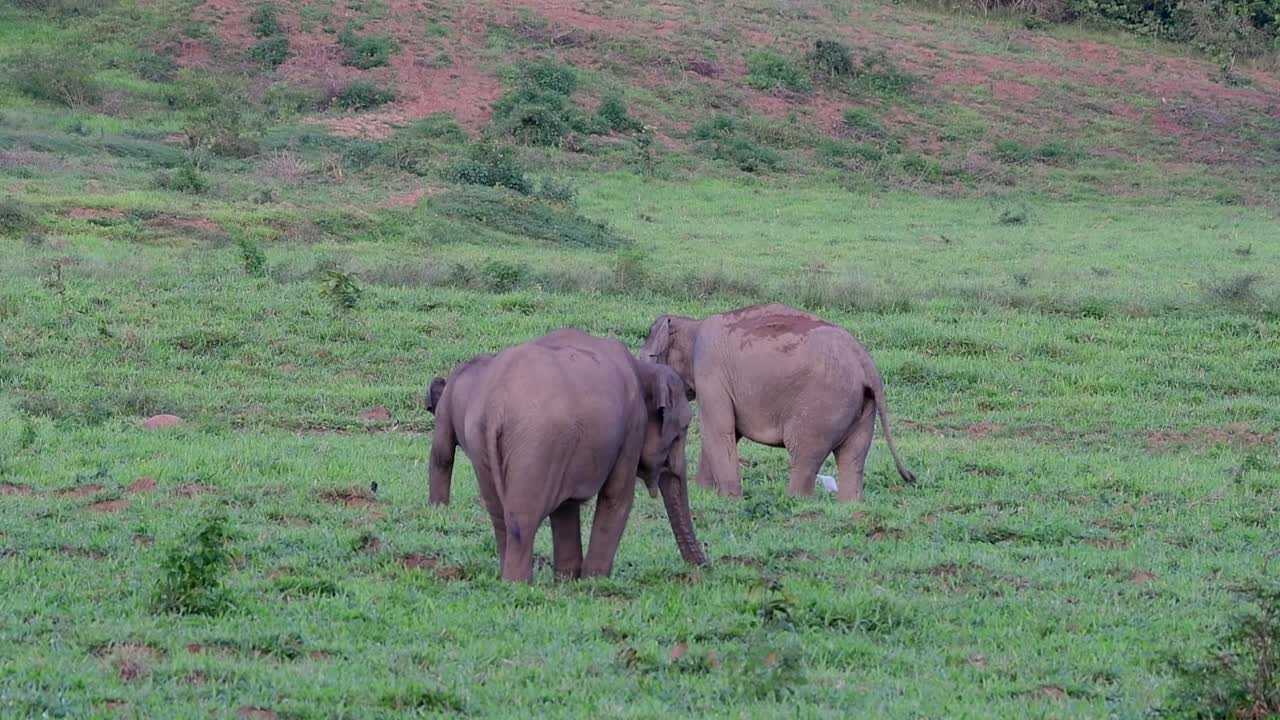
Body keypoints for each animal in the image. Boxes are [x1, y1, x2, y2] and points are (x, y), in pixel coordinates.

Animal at [426, 329, 707, 583]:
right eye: (682, 431)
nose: (705, 569)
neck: (642, 369)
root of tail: (497, 405)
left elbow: (566, 507)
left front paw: (567, 579)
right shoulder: (632, 428)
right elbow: (616, 498)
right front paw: (594, 582)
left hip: (485, 444)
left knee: (499, 515)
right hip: (537, 445)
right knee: (521, 520)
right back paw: (518, 584)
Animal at [639, 303, 915, 503]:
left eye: (648, 357)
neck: (692, 325)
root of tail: (866, 363)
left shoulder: (710, 373)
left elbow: (718, 430)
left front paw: (729, 499)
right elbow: (725, 432)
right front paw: (705, 494)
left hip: (822, 405)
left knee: (805, 453)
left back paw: (795, 501)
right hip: (862, 408)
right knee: (853, 457)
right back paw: (850, 506)